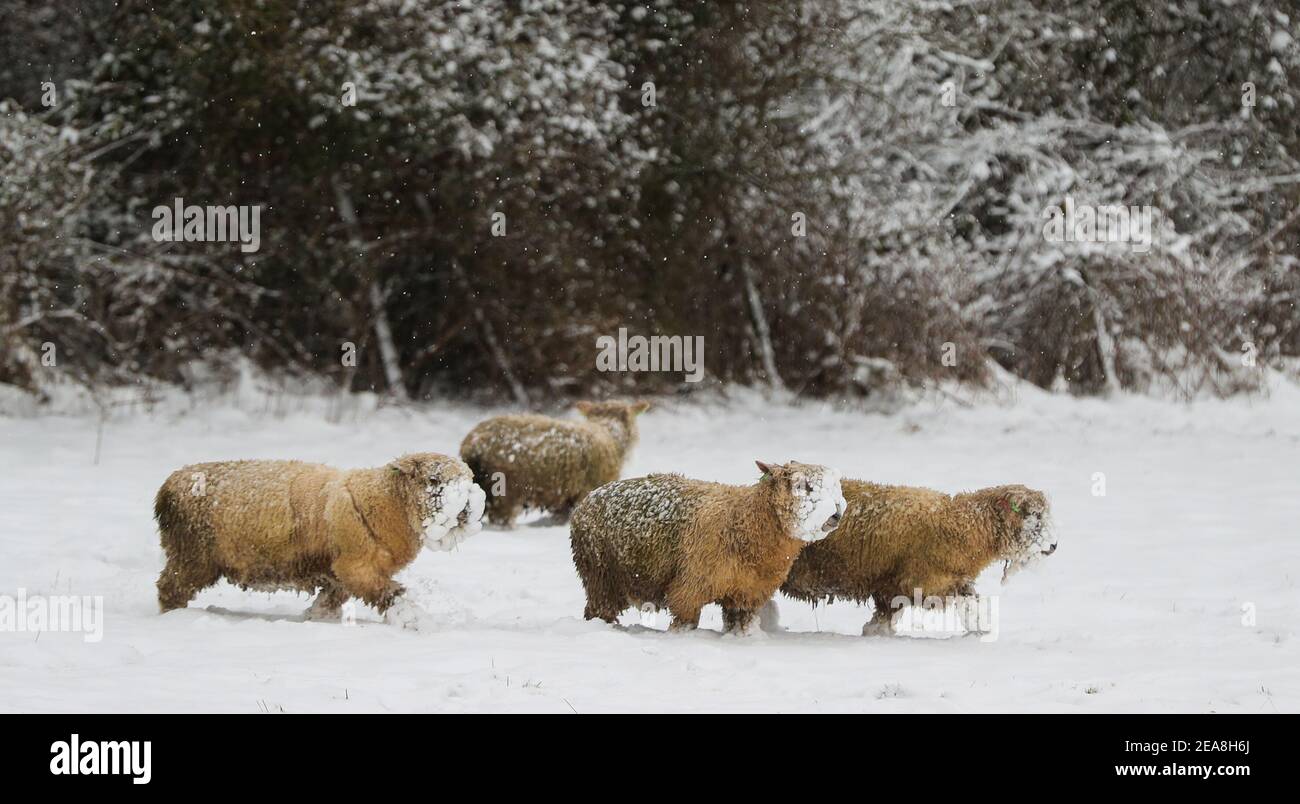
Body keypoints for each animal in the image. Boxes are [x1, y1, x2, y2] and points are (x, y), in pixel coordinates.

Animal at [152, 450, 486, 627]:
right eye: (434, 479)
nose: (472, 507)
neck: (382, 501)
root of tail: (169, 487)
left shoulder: (339, 573)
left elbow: (329, 600)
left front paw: (316, 617)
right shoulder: (357, 567)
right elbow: (392, 594)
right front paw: (413, 621)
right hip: (192, 555)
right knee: (170, 588)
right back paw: (175, 618)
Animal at [569, 460, 842, 634]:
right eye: (803, 486)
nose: (836, 514)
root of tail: (585, 502)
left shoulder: (747, 594)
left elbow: (739, 625)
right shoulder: (688, 589)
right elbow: (685, 623)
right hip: (601, 575)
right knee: (598, 610)